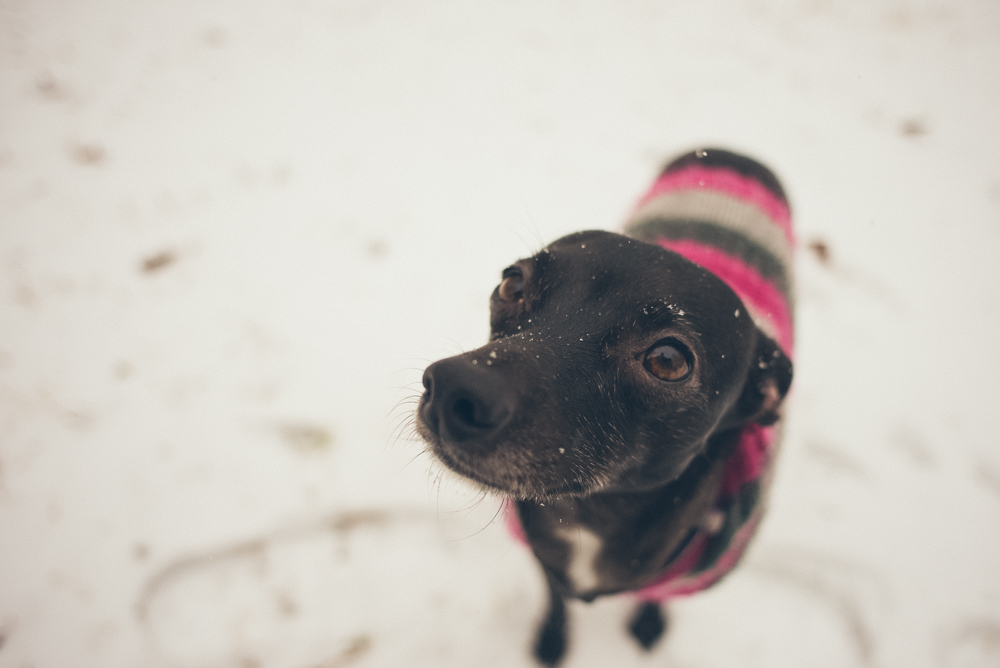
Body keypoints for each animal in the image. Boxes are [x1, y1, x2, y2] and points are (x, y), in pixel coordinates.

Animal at [418, 149, 792, 664]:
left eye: (669, 360)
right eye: (513, 285)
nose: (451, 389)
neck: (588, 516)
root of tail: (732, 151)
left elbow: (652, 599)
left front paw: (649, 624)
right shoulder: (547, 564)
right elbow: (557, 601)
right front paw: (553, 640)